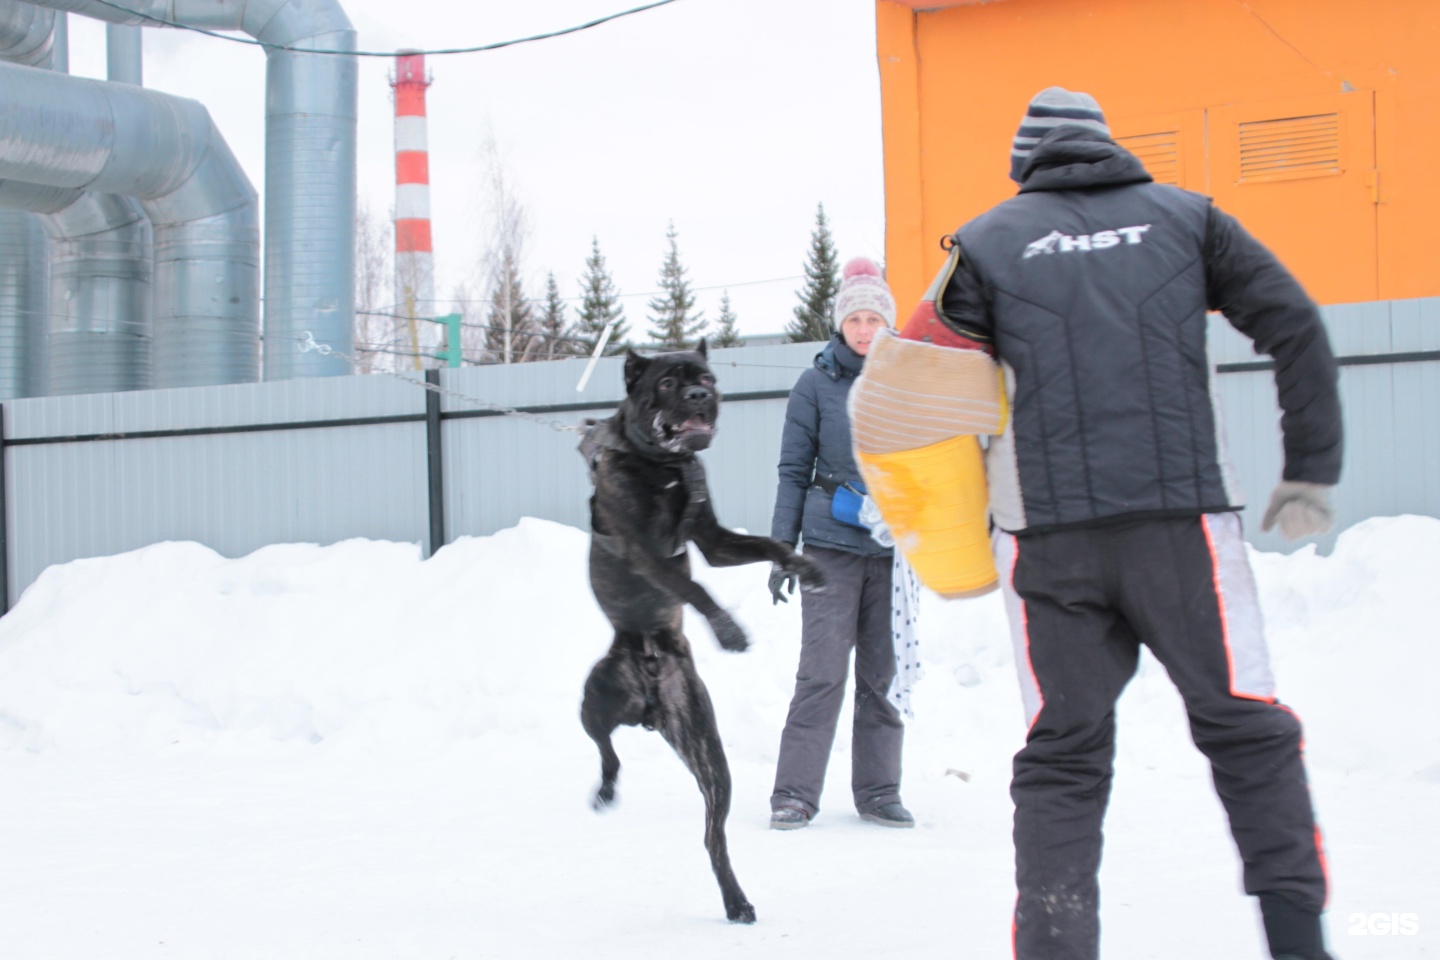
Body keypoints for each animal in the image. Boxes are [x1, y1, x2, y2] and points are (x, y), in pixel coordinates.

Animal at [573, 343, 823, 921]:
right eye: (666, 383)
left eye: (706, 378)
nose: (697, 395)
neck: (666, 464)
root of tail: (646, 704)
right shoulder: (644, 548)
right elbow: (693, 588)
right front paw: (728, 629)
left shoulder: (711, 538)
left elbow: (768, 547)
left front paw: (805, 567)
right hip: (592, 699)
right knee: (607, 752)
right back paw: (606, 791)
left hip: (708, 752)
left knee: (713, 836)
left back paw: (736, 900)